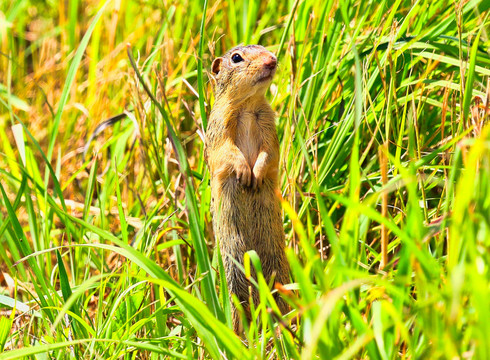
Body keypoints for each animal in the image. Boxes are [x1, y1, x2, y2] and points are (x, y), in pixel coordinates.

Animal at [204, 44, 290, 332]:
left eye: (265, 48)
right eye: (236, 58)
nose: (272, 60)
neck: (248, 106)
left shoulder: (269, 126)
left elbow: (269, 153)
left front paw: (257, 174)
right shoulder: (219, 129)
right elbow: (228, 153)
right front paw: (244, 173)